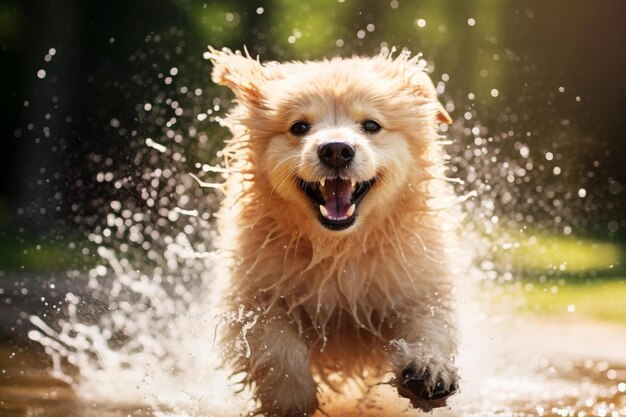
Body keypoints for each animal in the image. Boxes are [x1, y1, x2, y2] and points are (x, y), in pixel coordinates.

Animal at [207, 47, 456, 414]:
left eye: (371, 125)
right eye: (299, 126)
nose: (336, 149)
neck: (339, 249)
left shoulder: (418, 281)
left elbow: (431, 324)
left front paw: (428, 368)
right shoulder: (254, 293)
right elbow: (273, 345)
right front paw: (292, 397)